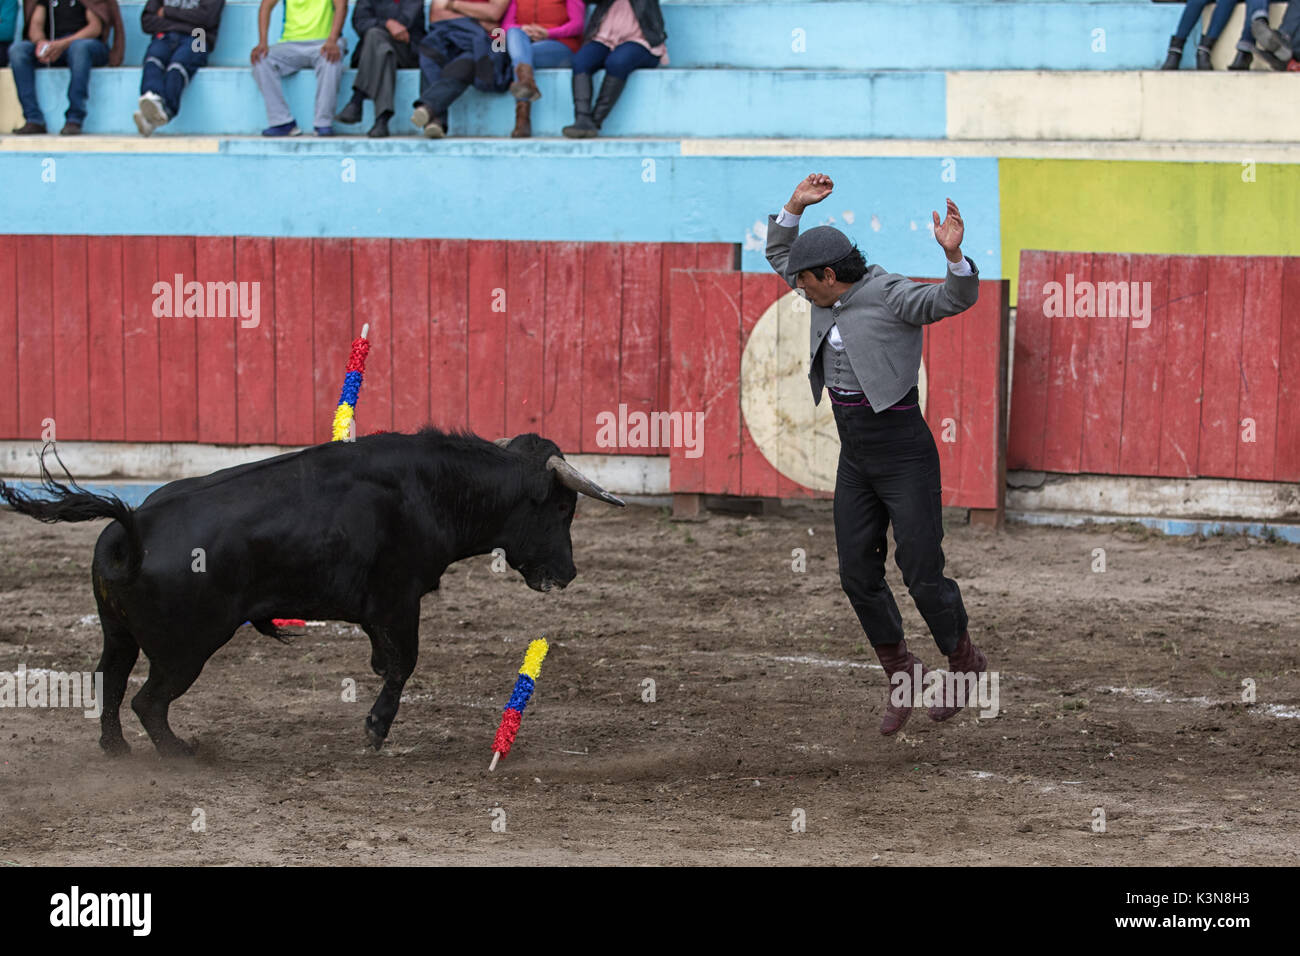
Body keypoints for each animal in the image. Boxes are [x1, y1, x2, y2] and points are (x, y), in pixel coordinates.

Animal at [0, 431, 624, 754]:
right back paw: (179, 752)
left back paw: (119, 750)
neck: (433, 487)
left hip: (120, 635)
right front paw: (374, 731)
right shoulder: (399, 599)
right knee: (147, 700)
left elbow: (386, 660)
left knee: (109, 681)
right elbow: (403, 663)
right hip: (186, 649)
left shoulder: (377, 609)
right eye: (562, 508)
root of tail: (133, 525)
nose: (568, 573)